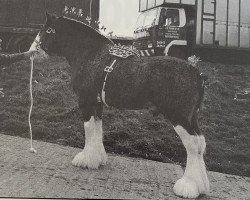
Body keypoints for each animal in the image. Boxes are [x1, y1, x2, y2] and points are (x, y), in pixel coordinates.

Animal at [32, 12, 209, 198]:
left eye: (46, 30)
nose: (33, 50)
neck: (91, 54)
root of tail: (197, 73)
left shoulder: (86, 101)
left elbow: (89, 129)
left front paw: (85, 159)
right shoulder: (97, 104)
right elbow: (98, 128)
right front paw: (98, 159)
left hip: (178, 117)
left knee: (192, 144)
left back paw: (188, 186)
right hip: (191, 118)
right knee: (200, 143)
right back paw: (201, 186)